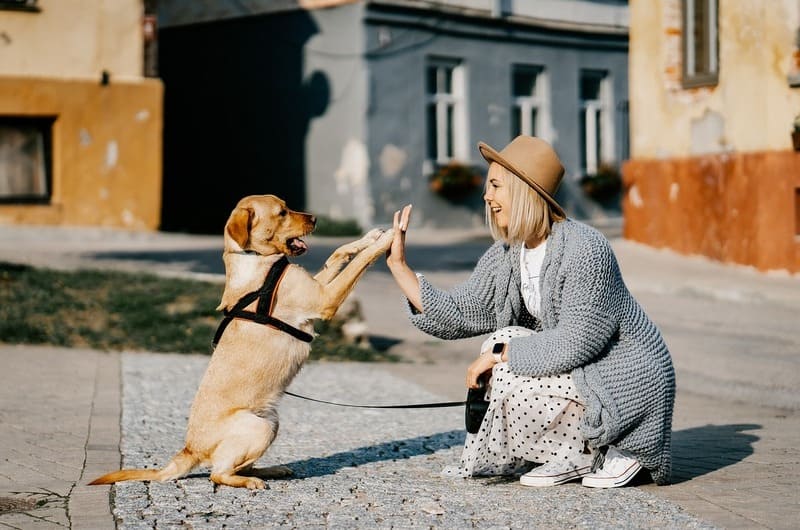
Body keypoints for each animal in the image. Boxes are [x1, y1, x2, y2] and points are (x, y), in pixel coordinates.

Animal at [89, 193, 396, 486]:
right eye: (282, 212)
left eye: (287, 206)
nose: (316, 219)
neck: (256, 258)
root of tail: (190, 449)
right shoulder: (324, 299)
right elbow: (359, 263)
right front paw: (388, 239)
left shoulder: (318, 287)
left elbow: (338, 253)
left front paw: (370, 237)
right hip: (258, 426)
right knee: (218, 473)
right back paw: (250, 481)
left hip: (271, 421)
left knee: (237, 466)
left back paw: (270, 470)